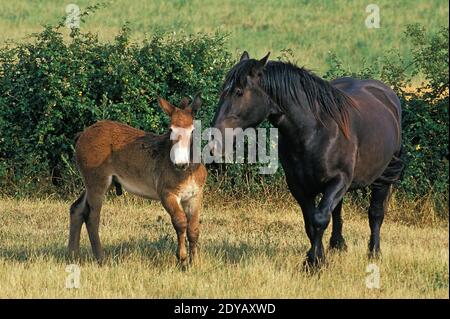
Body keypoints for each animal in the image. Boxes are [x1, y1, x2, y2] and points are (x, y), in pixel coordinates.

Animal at [212, 51, 404, 268]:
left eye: (239, 92)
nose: (214, 140)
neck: (314, 132)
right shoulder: (299, 186)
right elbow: (310, 223)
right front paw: (317, 259)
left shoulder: (339, 180)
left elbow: (319, 219)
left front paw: (313, 264)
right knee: (337, 211)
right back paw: (338, 245)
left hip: (384, 175)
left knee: (375, 213)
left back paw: (374, 253)